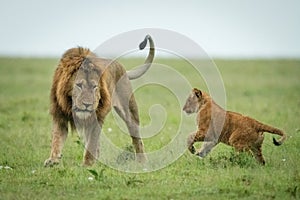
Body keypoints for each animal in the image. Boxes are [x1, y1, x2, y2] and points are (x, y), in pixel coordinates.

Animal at [44, 35, 155, 166]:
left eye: (95, 87)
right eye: (79, 85)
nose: (87, 105)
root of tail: (120, 65)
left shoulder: (97, 116)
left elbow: (91, 143)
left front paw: (87, 164)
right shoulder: (59, 114)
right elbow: (57, 138)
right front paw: (52, 161)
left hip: (129, 110)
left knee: (136, 137)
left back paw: (142, 162)